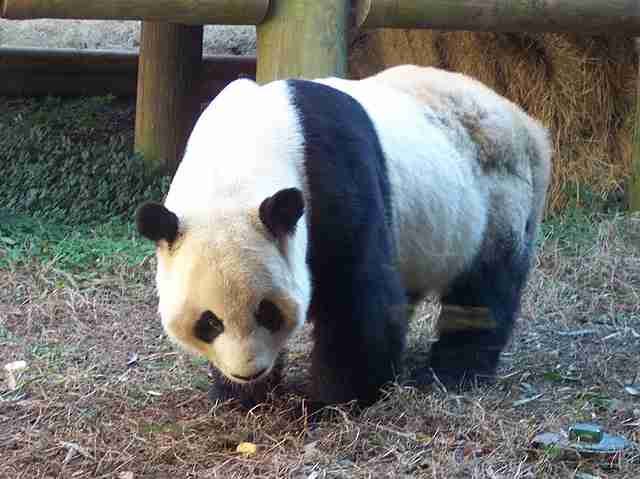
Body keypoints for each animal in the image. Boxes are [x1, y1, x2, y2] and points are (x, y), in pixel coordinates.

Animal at [138, 63, 552, 408]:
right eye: (209, 322)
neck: (239, 155)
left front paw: (334, 399)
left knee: (481, 290)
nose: (249, 370)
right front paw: (240, 394)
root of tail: (529, 125)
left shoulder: (333, 172)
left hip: (498, 197)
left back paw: (453, 370)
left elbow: (356, 294)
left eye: (267, 311)